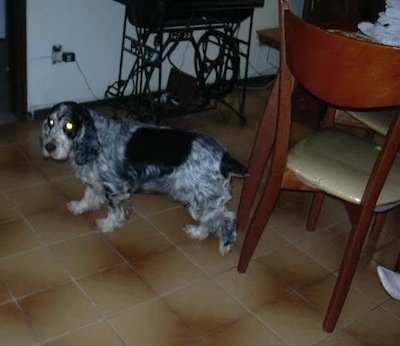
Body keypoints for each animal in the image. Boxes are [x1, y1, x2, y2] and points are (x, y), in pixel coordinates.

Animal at [40, 101, 247, 255]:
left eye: (69, 125)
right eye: (50, 123)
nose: (49, 146)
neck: (97, 138)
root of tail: (225, 156)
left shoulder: (115, 186)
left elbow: (115, 211)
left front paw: (107, 224)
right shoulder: (97, 180)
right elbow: (89, 195)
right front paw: (79, 206)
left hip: (203, 196)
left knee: (225, 219)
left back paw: (225, 245)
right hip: (195, 196)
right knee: (210, 220)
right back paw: (197, 233)